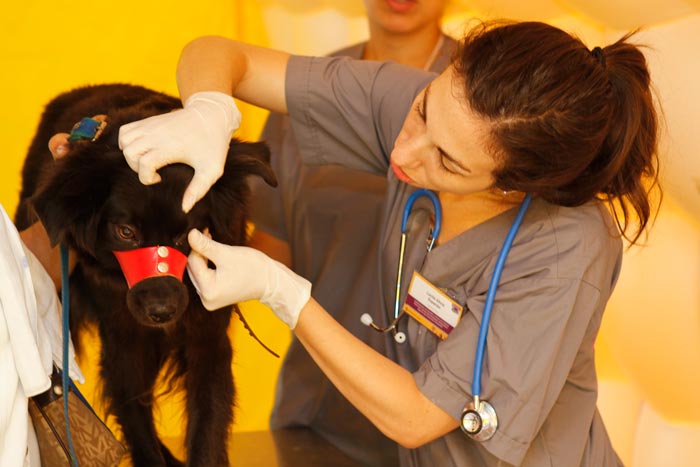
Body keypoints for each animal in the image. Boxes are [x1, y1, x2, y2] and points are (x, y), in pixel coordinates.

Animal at [15, 84, 278, 467]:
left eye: (187, 234)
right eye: (126, 233)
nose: (161, 312)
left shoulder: (208, 339)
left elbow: (208, 426)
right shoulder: (125, 341)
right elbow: (137, 422)